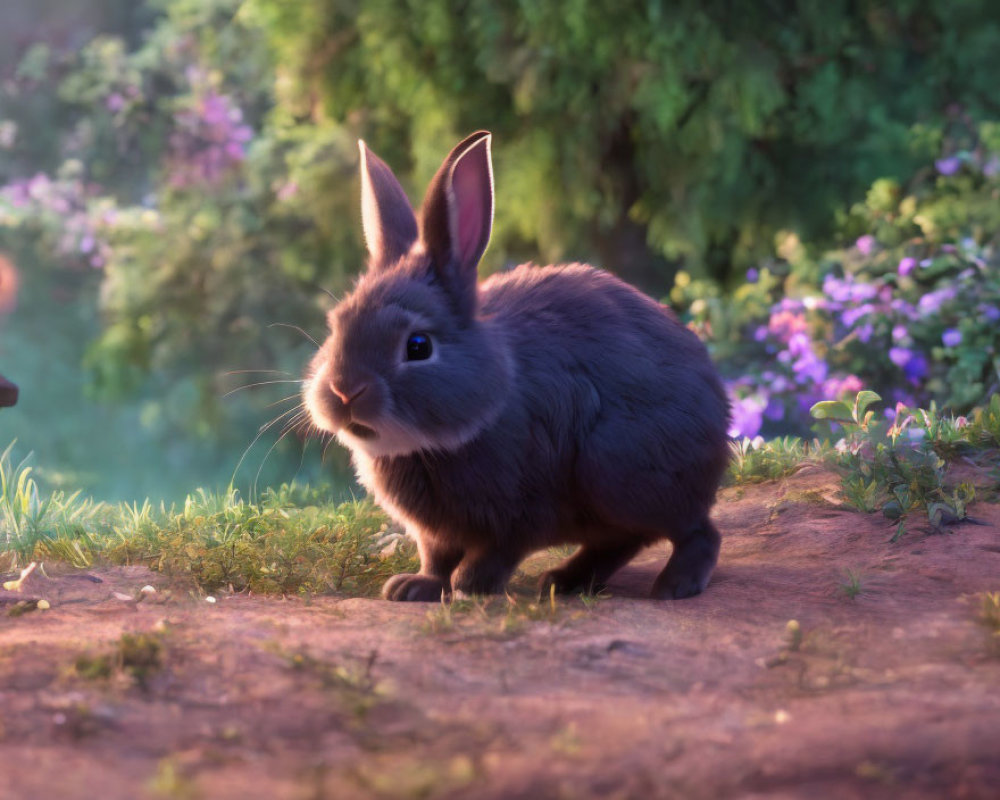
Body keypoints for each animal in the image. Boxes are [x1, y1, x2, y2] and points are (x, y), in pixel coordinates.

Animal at [304, 130, 731, 602]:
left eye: (418, 346)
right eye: (335, 325)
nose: (345, 391)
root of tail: (719, 415)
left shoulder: (523, 512)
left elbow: (496, 553)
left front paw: (469, 587)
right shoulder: (437, 535)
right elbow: (436, 557)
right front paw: (412, 587)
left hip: (626, 476)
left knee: (695, 531)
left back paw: (675, 585)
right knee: (622, 541)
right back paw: (565, 580)